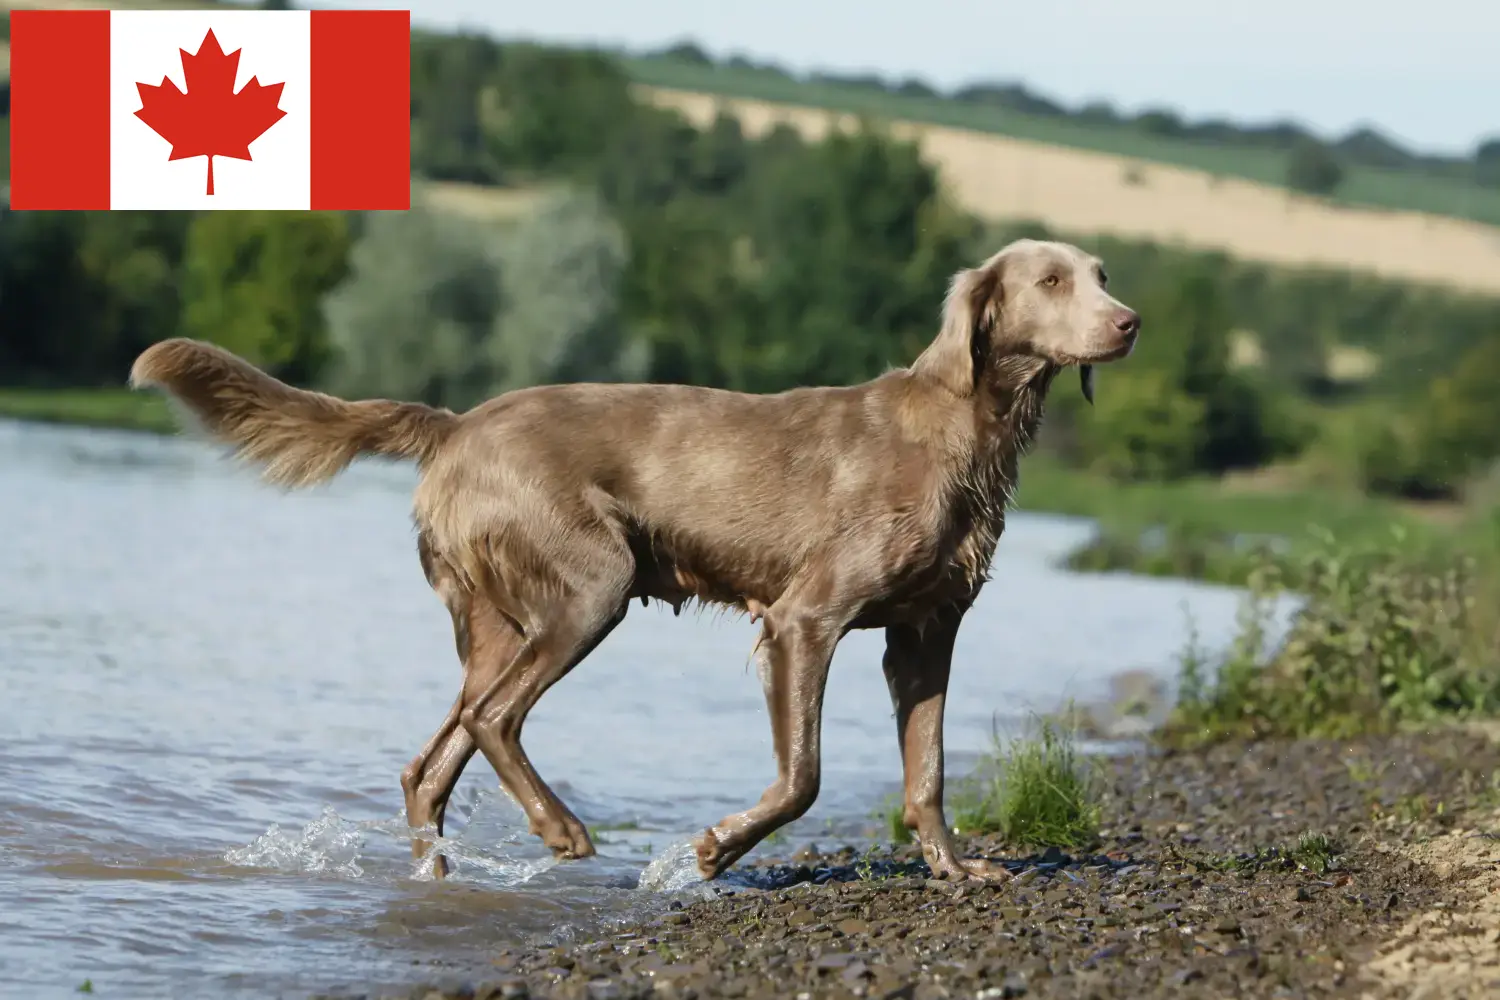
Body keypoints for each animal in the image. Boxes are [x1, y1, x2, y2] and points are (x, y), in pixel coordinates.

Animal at [132, 239, 1134, 881]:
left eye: (1101, 275)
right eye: (1052, 280)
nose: (1128, 322)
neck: (970, 430)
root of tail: (457, 424)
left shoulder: (926, 634)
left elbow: (926, 772)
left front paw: (958, 869)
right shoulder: (805, 618)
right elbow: (803, 775)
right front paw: (716, 848)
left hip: (499, 621)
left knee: (433, 762)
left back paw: (442, 878)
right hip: (590, 588)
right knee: (494, 720)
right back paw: (563, 830)